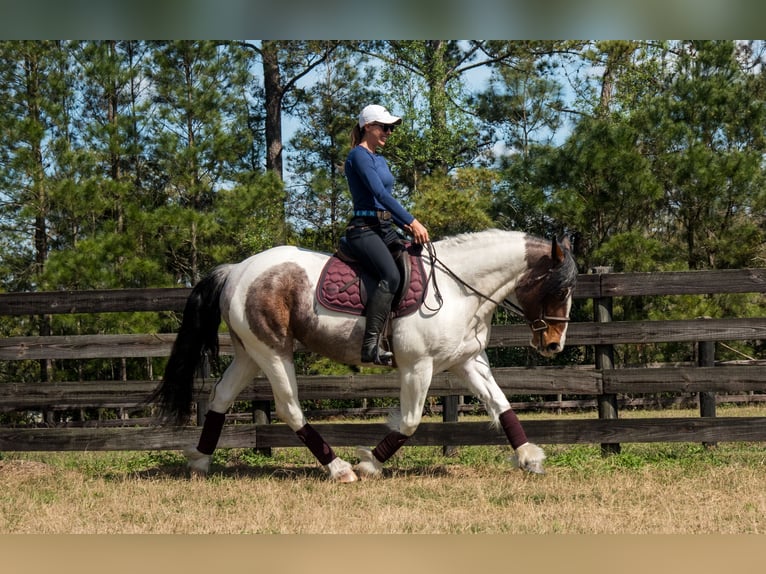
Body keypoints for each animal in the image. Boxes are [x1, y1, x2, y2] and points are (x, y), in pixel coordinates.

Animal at [154, 230, 576, 482]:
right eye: (559, 289)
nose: (554, 345)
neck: (459, 289)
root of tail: (237, 270)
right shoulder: (418, 367)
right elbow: (409, 422)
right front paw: (370, 462)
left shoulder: (467, 361)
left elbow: (501, 404)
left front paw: (529, 457)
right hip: (272, 351)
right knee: (289, 408)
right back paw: (339, 468)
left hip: (249, 353)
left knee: (221, 398)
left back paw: (199, 462)